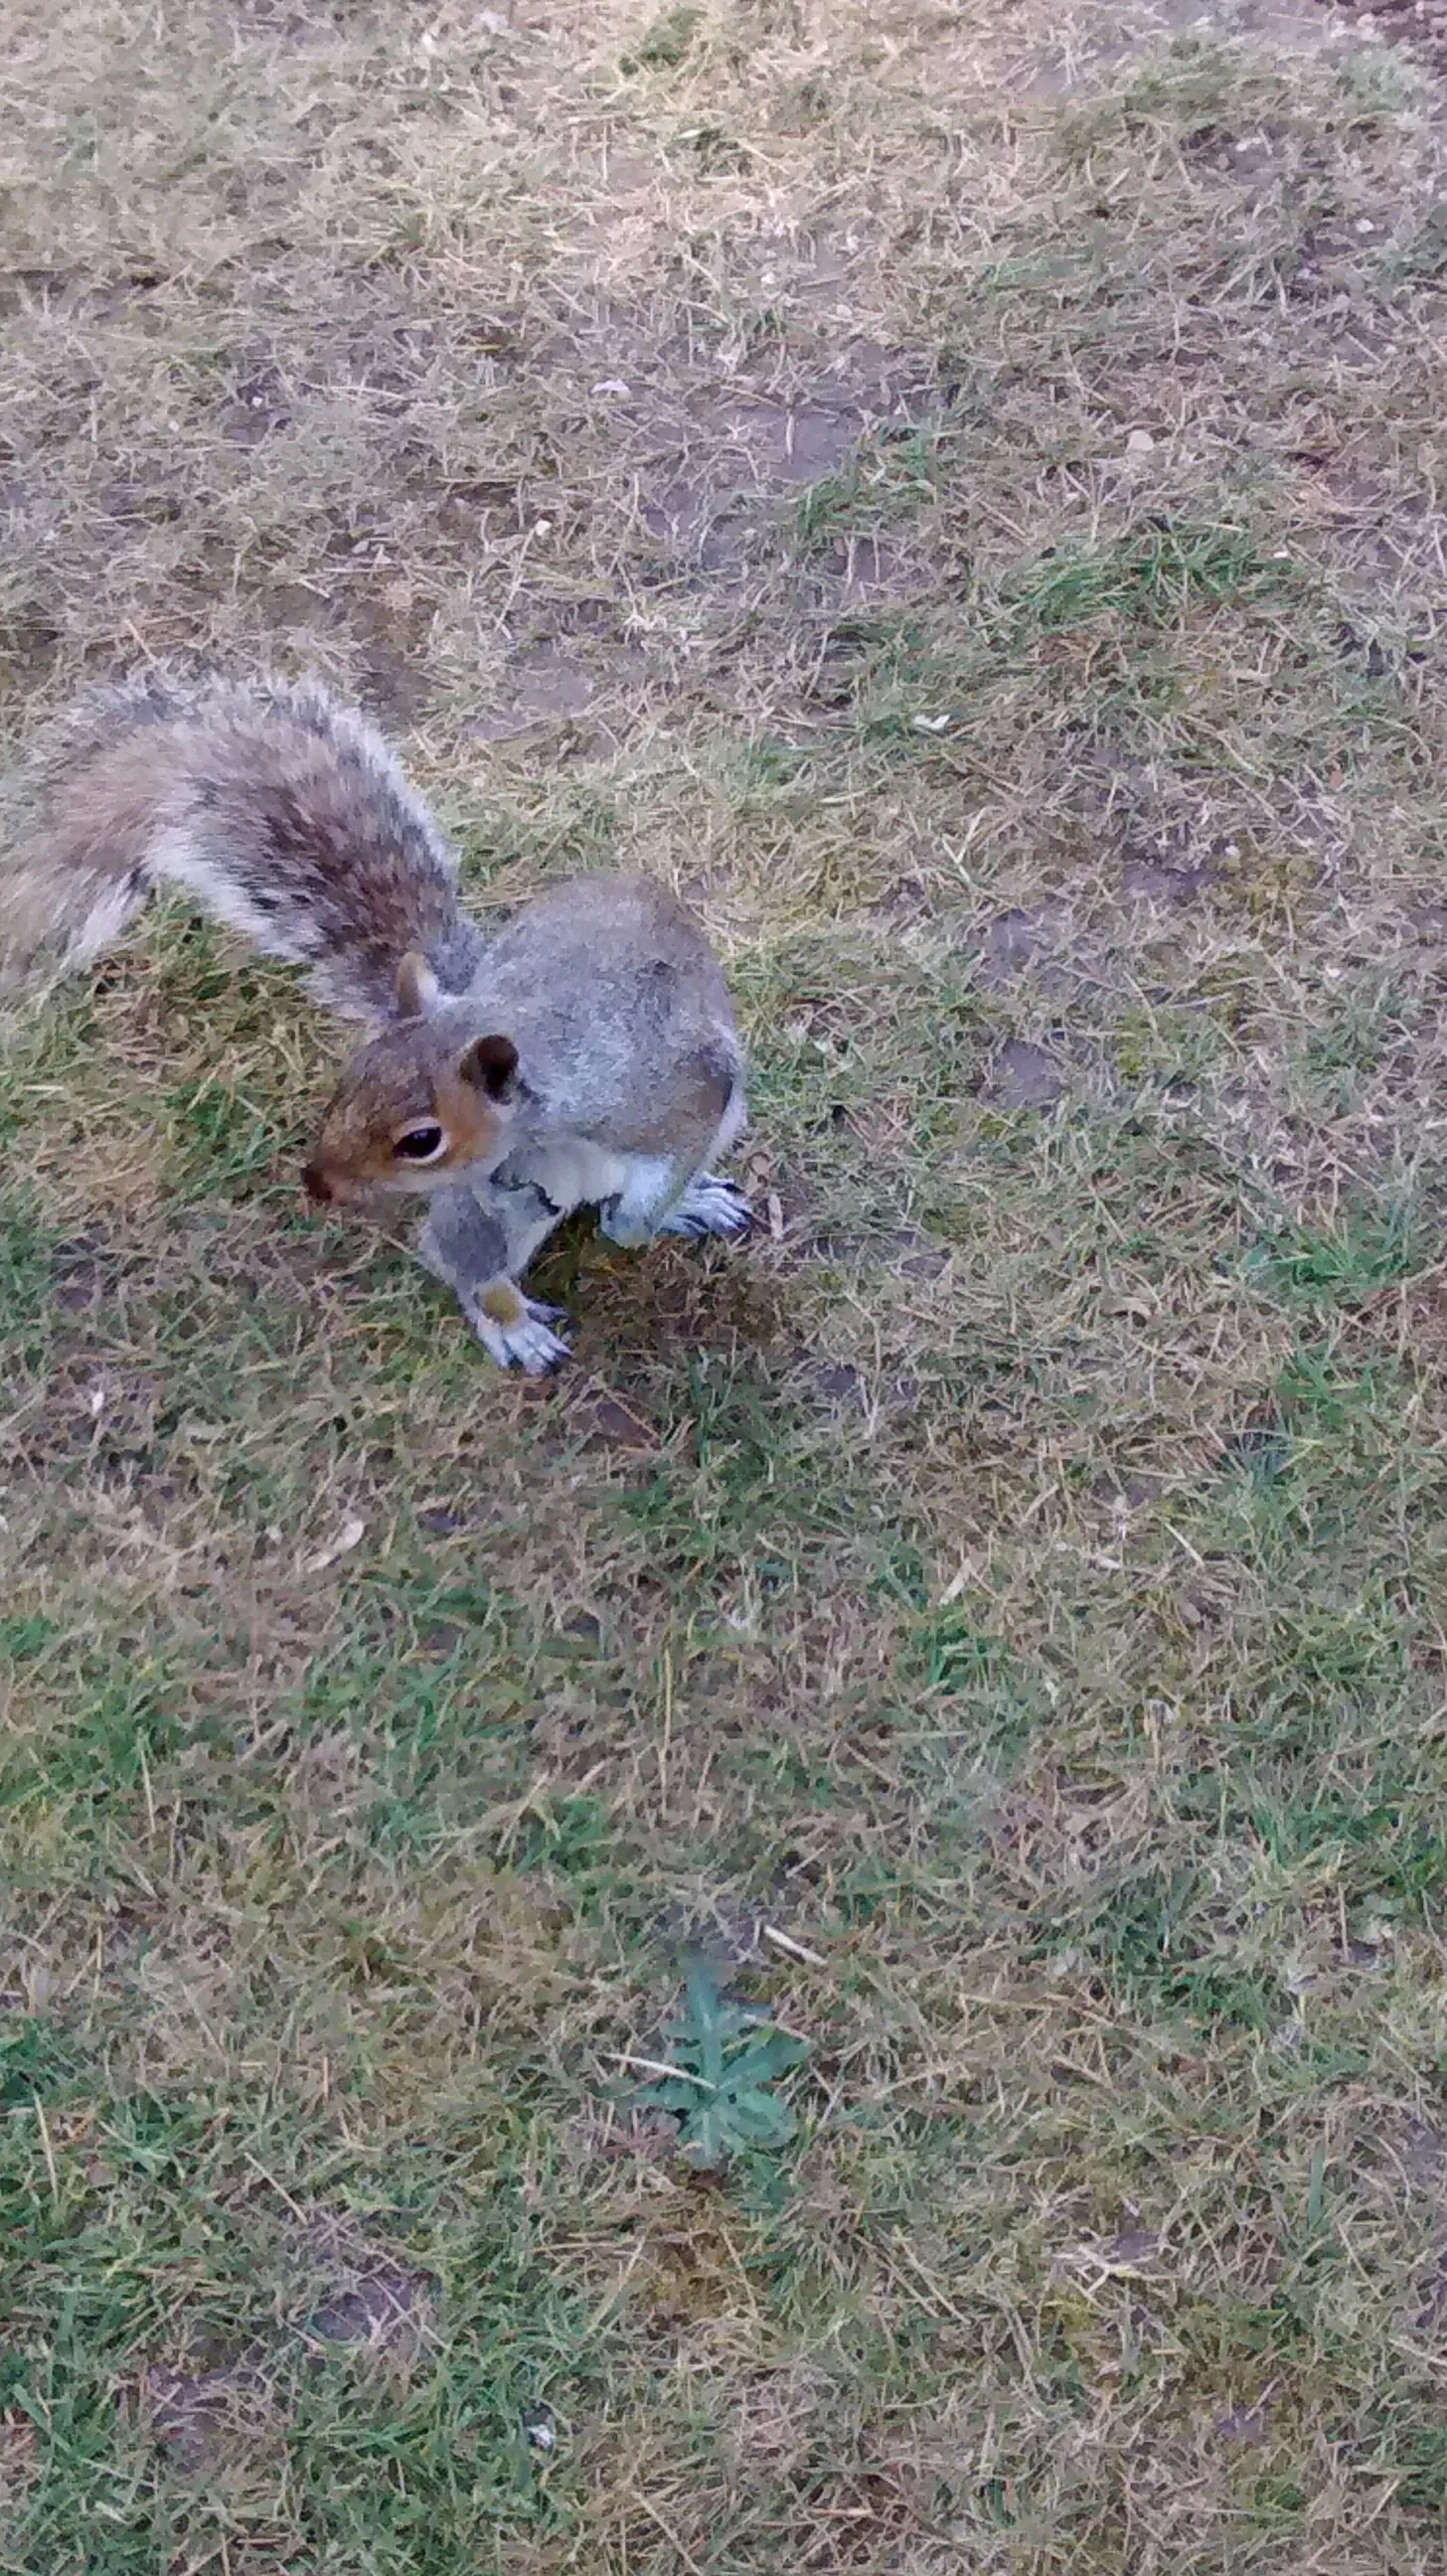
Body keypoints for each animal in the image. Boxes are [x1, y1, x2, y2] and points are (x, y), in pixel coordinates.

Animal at [2, 666, 751, 1371]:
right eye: (351, 1074)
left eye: (421, 1140)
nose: (317, 1182)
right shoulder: (489, 1183)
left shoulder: (678, 1090)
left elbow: (652, 1185)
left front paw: (640, 1221)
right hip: (483, 1217)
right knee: (457, 1256)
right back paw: (508, 1323)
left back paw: (685, 1203)